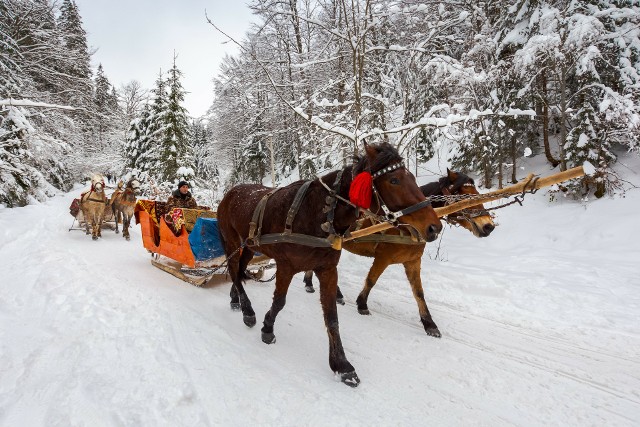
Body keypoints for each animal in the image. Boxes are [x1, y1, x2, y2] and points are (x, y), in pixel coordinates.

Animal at [218, 142, 442, 386]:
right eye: (394, 180)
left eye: (411, 176)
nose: (434, 227)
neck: (317, 215)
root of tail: (230, 192)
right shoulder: (286, 266)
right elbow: (279, 302)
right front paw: (267, 328)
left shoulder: (327, 269)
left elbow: (332, 317)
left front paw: (342, 365)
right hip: (231, 241)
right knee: (234, 270)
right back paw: (247, 311)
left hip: (249, 245)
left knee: (239, 271)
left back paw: (235, 300)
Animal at [304, 167, 496, 338]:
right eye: (465, 196)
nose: (488, 226)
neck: (410, 226)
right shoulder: (383, 257)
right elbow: (371, 280)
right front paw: (362, 304)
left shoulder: (413, 261)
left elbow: (418, 292)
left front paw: (429, 324)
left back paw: (317, 285)